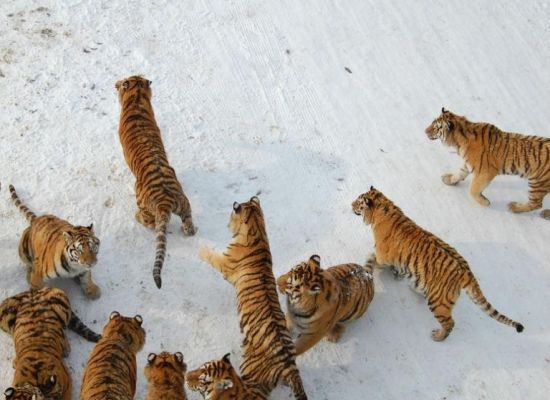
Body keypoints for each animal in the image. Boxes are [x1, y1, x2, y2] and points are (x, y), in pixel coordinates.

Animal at [115, 75, 197, 288]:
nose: (116, 84)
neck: (136, 98)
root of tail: (165, 201)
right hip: (184, 203)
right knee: (188, 224)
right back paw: (191, 229)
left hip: (141, 200)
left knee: (147, 220)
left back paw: (139, 217)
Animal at [199, 198, 310, 400]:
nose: (226, 224)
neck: (257, 227)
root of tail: (288, 363)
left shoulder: (225, 263)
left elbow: (211, 255)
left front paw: (201, 248)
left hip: (250, 372)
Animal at [354, 187, 528, 340]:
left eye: (358, 202)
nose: (351, 204)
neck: (385, 208)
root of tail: (467, 272)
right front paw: (397, 274)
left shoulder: (383, 256)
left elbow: (374, 258)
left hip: (439, 302)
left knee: (450, 323)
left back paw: (438, 337)